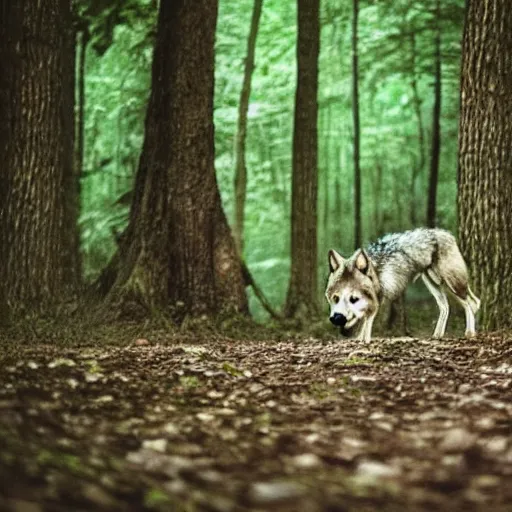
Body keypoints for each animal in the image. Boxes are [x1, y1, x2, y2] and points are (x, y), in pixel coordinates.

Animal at [326, 229, 482, 342]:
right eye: (335, 298)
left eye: (353, 299)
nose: (336, 318)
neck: (376, 272)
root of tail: (448, 234)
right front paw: (359, 340)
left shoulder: (376, 303)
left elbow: (366, 325)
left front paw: (364, 341)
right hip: (433, 283)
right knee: (446, 306)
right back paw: (437, 335)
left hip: (452, 284)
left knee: (471, 303)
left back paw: (470, 333)